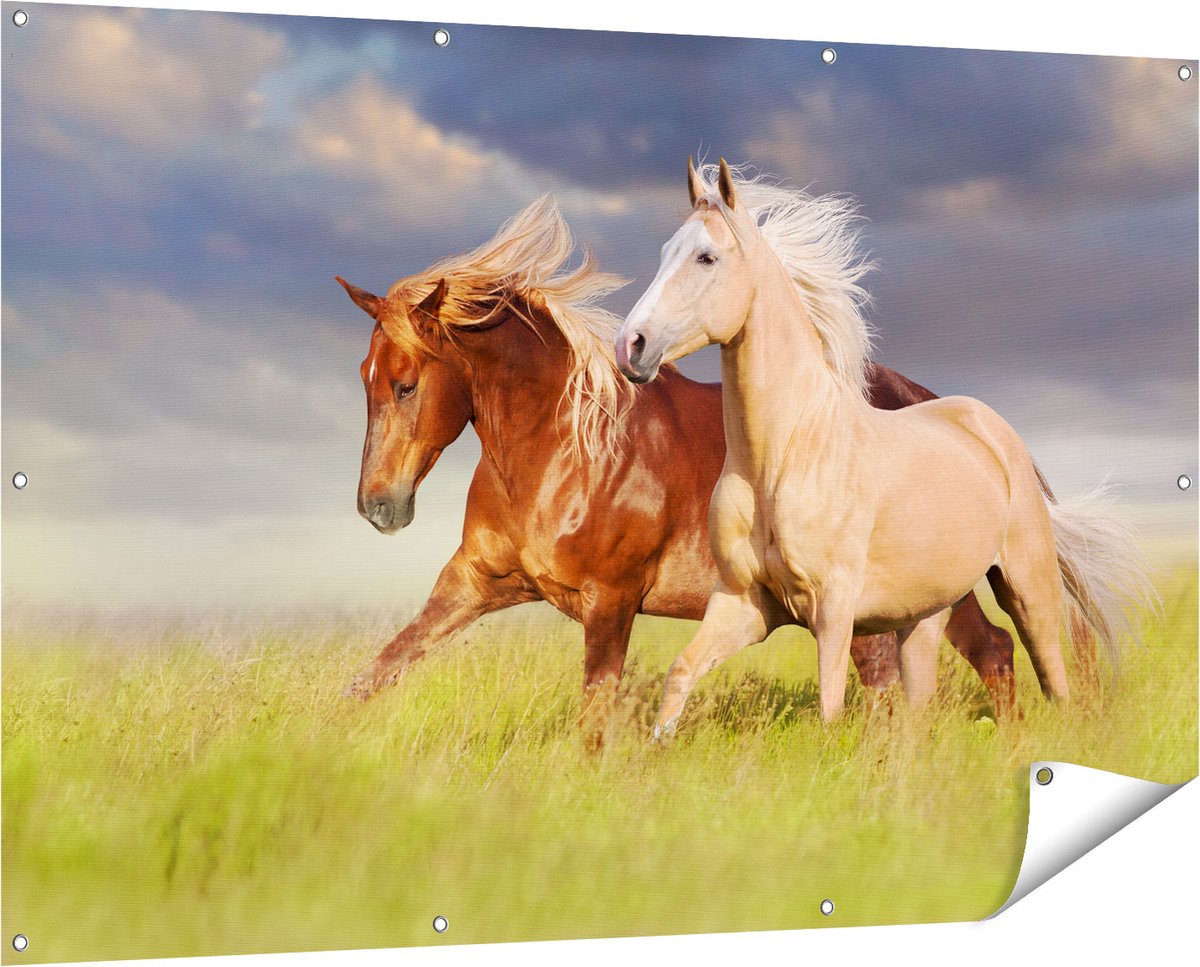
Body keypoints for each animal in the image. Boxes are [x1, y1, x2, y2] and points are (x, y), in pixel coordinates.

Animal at [335, 196, 1018, 743]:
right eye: (364, 378)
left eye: (406, 385)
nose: (378, 507)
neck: (562, 452)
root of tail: (937, 404)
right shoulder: (474, 582)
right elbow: (375, 673)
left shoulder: (611, 602)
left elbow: (595, 720)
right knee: (967, 657)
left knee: (962, 661)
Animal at [614, 158, 1151, 731]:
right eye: (665, 252)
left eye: (706, 256)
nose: (630, 346)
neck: (783, 458)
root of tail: (998, 435)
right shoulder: (744, 603)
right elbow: (680, 675)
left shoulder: (832, 610)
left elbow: (830, 707)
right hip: (926, 614)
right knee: (922, 704)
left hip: (1027, 588)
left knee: (1053, 679)